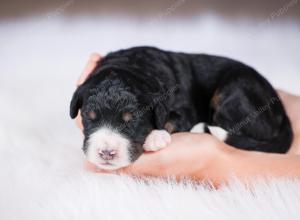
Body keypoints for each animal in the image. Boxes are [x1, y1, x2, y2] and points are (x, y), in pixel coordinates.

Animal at [69, 46, 292, 170]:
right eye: (89, 117)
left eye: (132, 120)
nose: (106, 153)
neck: (133, 65)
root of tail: (281, 110)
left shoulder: (186, 110)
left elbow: (171, 119)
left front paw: (156, 137)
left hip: (234, 92)